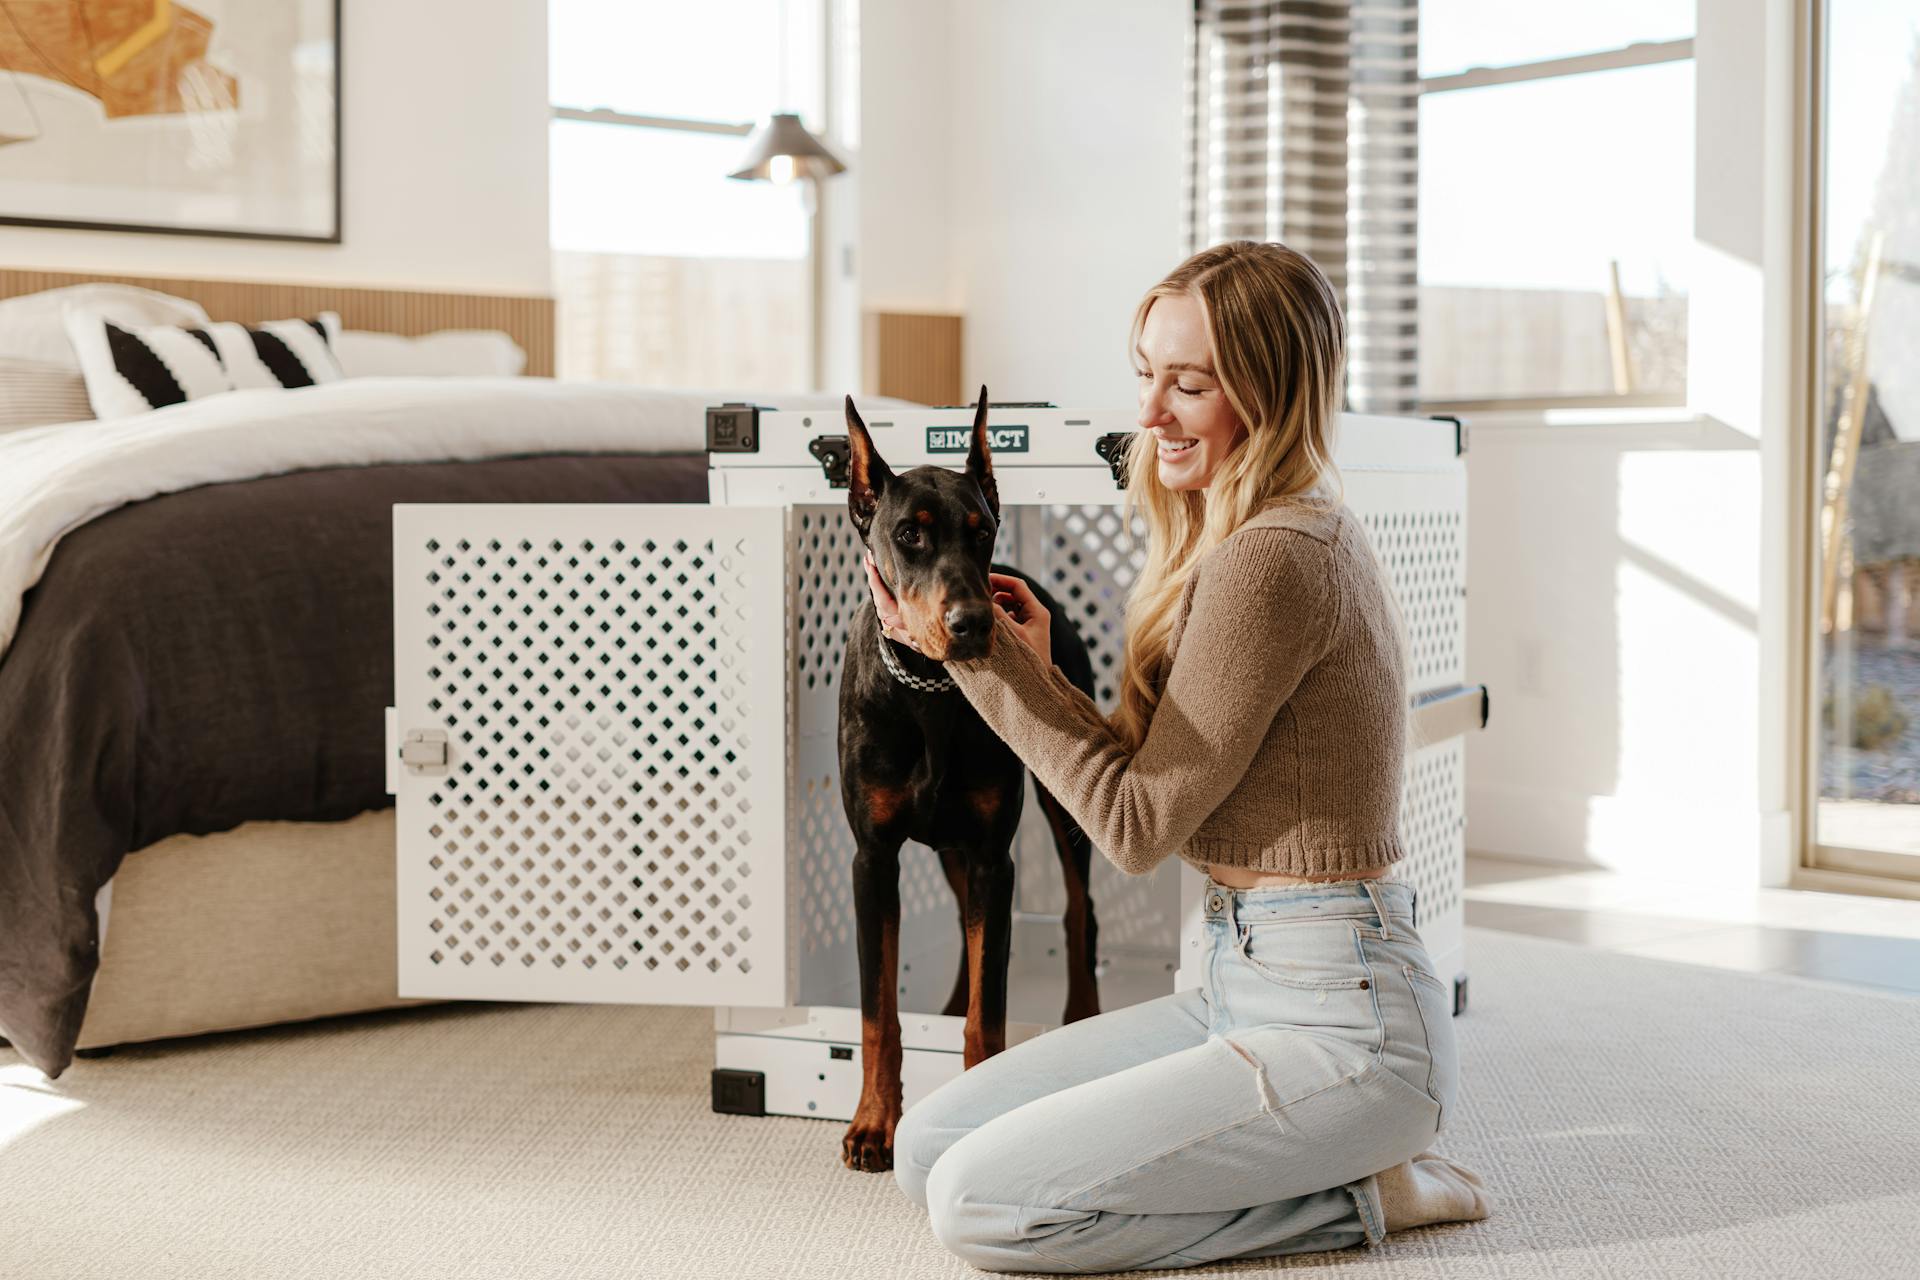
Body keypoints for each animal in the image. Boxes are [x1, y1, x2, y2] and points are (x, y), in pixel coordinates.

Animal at [837, 387, 1098, 1174]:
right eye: (909, 535)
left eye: (982, 533)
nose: (975, 622)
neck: (928, 691)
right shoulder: (873, 860)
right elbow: (878, 1012)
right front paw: (873, 1123)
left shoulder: (994, 859)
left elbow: (992, 1014)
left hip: (1059, 808)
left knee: (1079, 911)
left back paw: (1082, 1013)